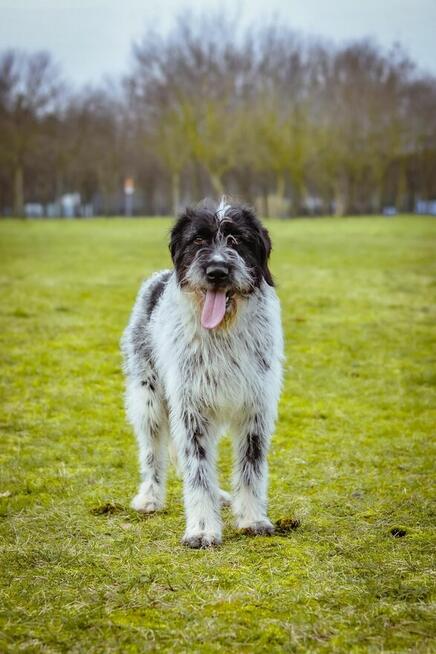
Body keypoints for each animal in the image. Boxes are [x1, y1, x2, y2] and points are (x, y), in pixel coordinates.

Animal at [121, 199, 284, 548]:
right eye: (198, 240)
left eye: (236, 239)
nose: (217, 271)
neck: (222, 332)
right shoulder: (191, 410)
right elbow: (197, 472)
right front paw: (202, 528)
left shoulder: (255, 410)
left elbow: (251, 469)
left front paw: (253, 519)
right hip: (148, 401)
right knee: (152, 454)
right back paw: (150, 497)